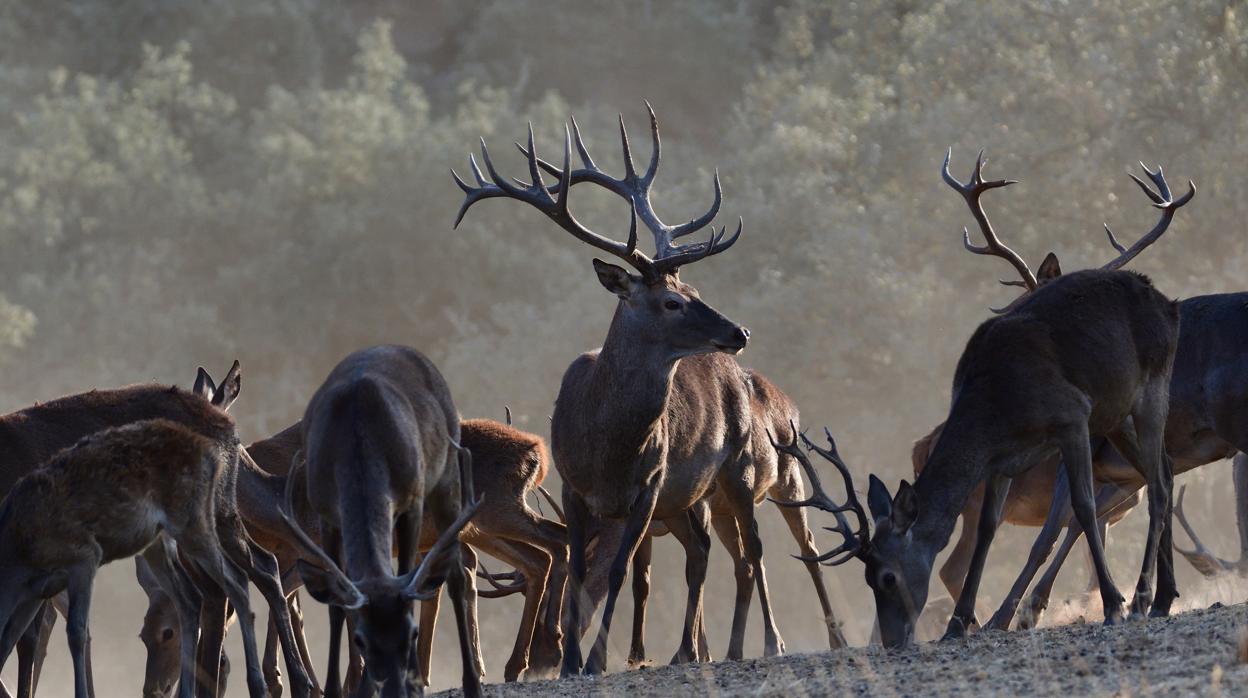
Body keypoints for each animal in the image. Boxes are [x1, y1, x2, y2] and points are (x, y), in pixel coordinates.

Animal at [454, 101, 823, 674]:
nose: (739, 332)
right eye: (672, 301)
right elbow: (580, 567)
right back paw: (696, 650)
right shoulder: (572, 487)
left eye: (693, 288)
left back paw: (761, 644)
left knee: (755, 551)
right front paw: (572, 658)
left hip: (740, 470)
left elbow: (621, 571)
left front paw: (592, 660)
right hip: (695, 497)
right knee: (710, 553)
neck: (608, 447)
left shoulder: (647, 490)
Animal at [783, 150, 1183, 649]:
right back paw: (1160, 595)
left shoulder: (1072, 418)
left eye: (888, 577)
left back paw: (1145, 598)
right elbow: (991, 531)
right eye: (867, 577)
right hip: (1117, 414)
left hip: (1152, 385)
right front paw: (961, 622)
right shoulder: (1001, 461)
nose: (894, 640)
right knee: (1161, 470)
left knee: (1160, 483)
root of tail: (1166, 301)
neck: (998, 404)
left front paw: (1112, 605)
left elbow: (1082, 509)